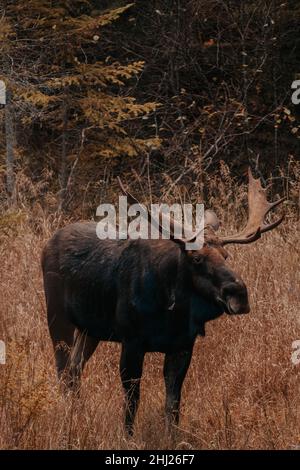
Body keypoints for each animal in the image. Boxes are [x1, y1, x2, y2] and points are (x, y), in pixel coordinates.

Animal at [41, 169, 284, 434]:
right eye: (196, 258)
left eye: (226, 255)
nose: (239, 293)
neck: (172, 313)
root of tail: (48, 244)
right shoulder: (132, 341)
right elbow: (132, 402)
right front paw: (127, 436)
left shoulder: (183, 345)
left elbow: (173, 404)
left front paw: (172, 436)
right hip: (57, 318)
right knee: (63, 369)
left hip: (90, 329)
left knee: (74, 369)